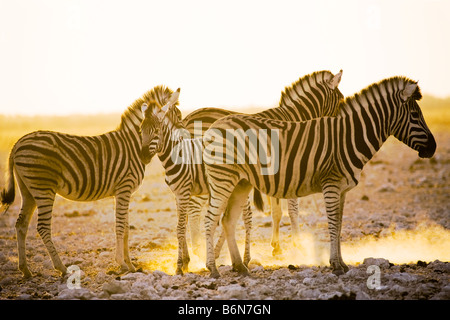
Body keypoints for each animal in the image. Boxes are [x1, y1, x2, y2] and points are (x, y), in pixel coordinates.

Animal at [0, 85, 179, 278]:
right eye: (177, 113)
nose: (144, 156)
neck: (133, 144)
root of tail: (17, 143)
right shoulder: (124, 188)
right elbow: (120, 227)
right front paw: (122, 263)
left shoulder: (123, 192)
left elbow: (126, 228)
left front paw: (131, 265)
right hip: (43, 187)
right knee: (42, 227)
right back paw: (62, 268)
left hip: (28, 190)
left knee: (21, 225)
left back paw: (25, 269)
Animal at [141, 70, 344, 276]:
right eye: (341, 100)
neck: (292, 117)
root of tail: (190, 118)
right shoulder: (290, 169)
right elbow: (291, 210)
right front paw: (296, 246)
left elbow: (277, 212)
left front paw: (277, 246)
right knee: (196, 211)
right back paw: (198, 254)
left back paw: (193, 258)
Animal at [203, 76, 436, 276]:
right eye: (415, 116)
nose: (433, 148)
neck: (348, 137)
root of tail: (214, 126)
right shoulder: (331, 184)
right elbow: (332, 224)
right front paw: (335, 265)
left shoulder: (343, 189)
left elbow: (339, 225)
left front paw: (341, 263)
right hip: (223, 180)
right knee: (210, 219)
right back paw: (212, 268)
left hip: (240, 183)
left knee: (227, 221)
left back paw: (239, 266)